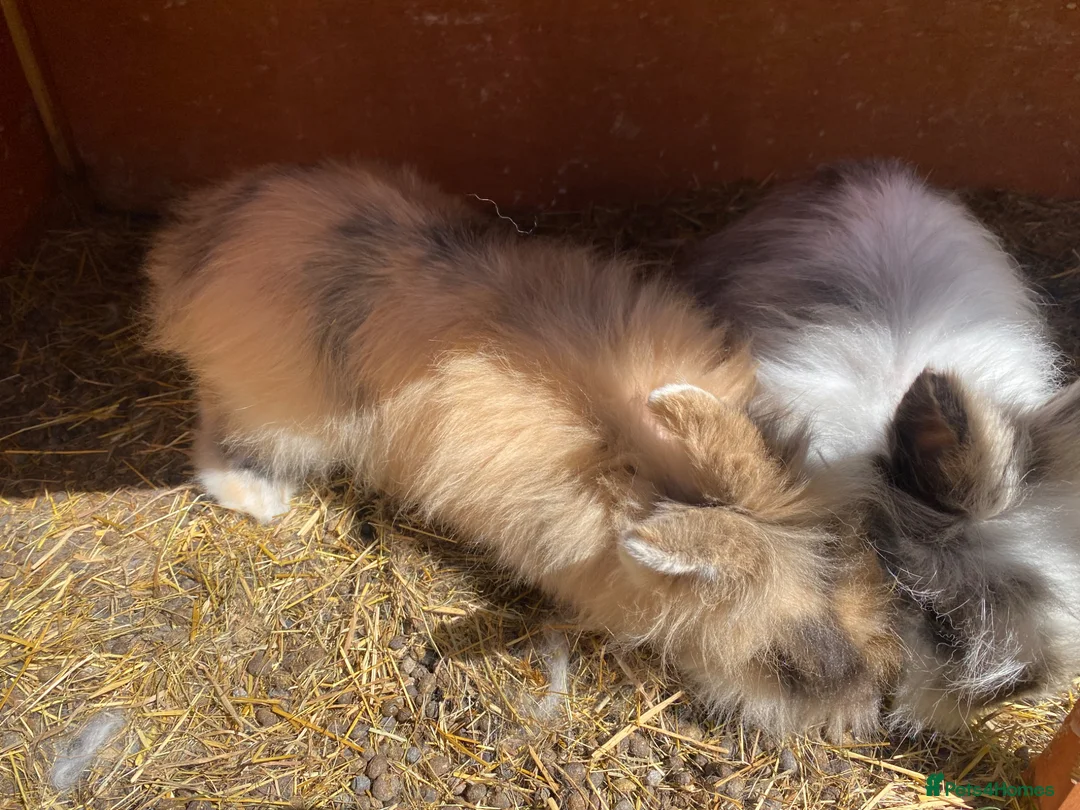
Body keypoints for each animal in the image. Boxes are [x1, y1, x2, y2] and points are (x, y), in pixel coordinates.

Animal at [142, 161, 900, 738]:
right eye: (785, 666)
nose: (865, 711)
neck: (646, 467)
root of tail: (200, 240)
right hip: (275, 413)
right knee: (216, 434)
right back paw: (258, 498)